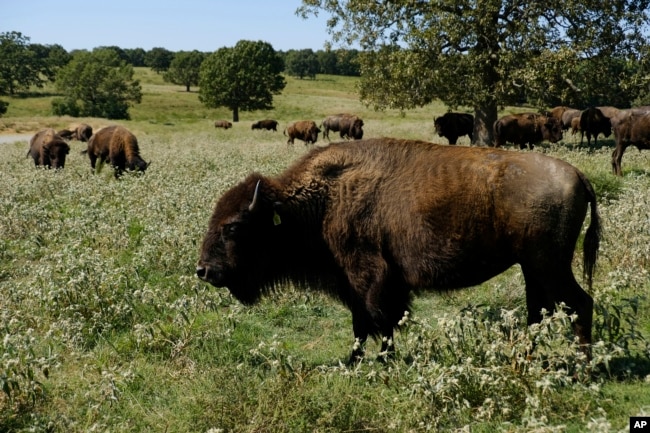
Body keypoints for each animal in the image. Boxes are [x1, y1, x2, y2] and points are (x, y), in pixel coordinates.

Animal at [196, 136, 596, 362]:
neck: (323, 200)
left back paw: (582, 368)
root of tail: (577, 174)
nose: (203, 271)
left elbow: (378, 321)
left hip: (550, 266)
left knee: (580, 303)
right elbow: (363, 324)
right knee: (538, 312)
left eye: (233, 227)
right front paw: (355, 360)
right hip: (533, 268)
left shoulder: (370, 278)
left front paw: (381, 360)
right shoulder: (357, 284)